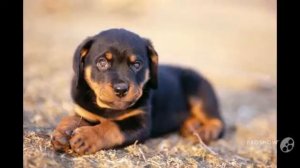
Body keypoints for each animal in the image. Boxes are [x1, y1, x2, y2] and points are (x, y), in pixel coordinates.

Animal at [51, 28, 225, 155]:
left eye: (136, 65)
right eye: (102, 62)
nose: (121, 89)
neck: (109, 109)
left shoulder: (139, 123)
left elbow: (111, 126)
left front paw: (86, 137)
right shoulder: (85, 112)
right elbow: (72, 118)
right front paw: (62, 132)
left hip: (198, 92)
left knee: (218, 122)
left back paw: (205, 132)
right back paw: (191, 126)